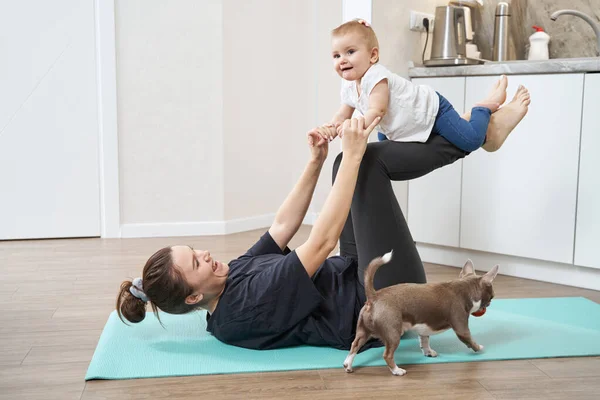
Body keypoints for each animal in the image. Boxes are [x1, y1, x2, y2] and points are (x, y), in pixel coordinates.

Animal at [344, 252, 500, 376]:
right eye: (491, 296)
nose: (490, 302)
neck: (465, 288)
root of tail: (374, 296)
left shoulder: (423, 329)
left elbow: (424, 341)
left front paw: (428, 352)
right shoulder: (461, 327)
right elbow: (469, 339)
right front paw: (478, 347)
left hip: (363, 332)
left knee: (354, 345)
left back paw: (348, 365)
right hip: (393, 334)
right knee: (387, 355)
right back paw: (397, 370)